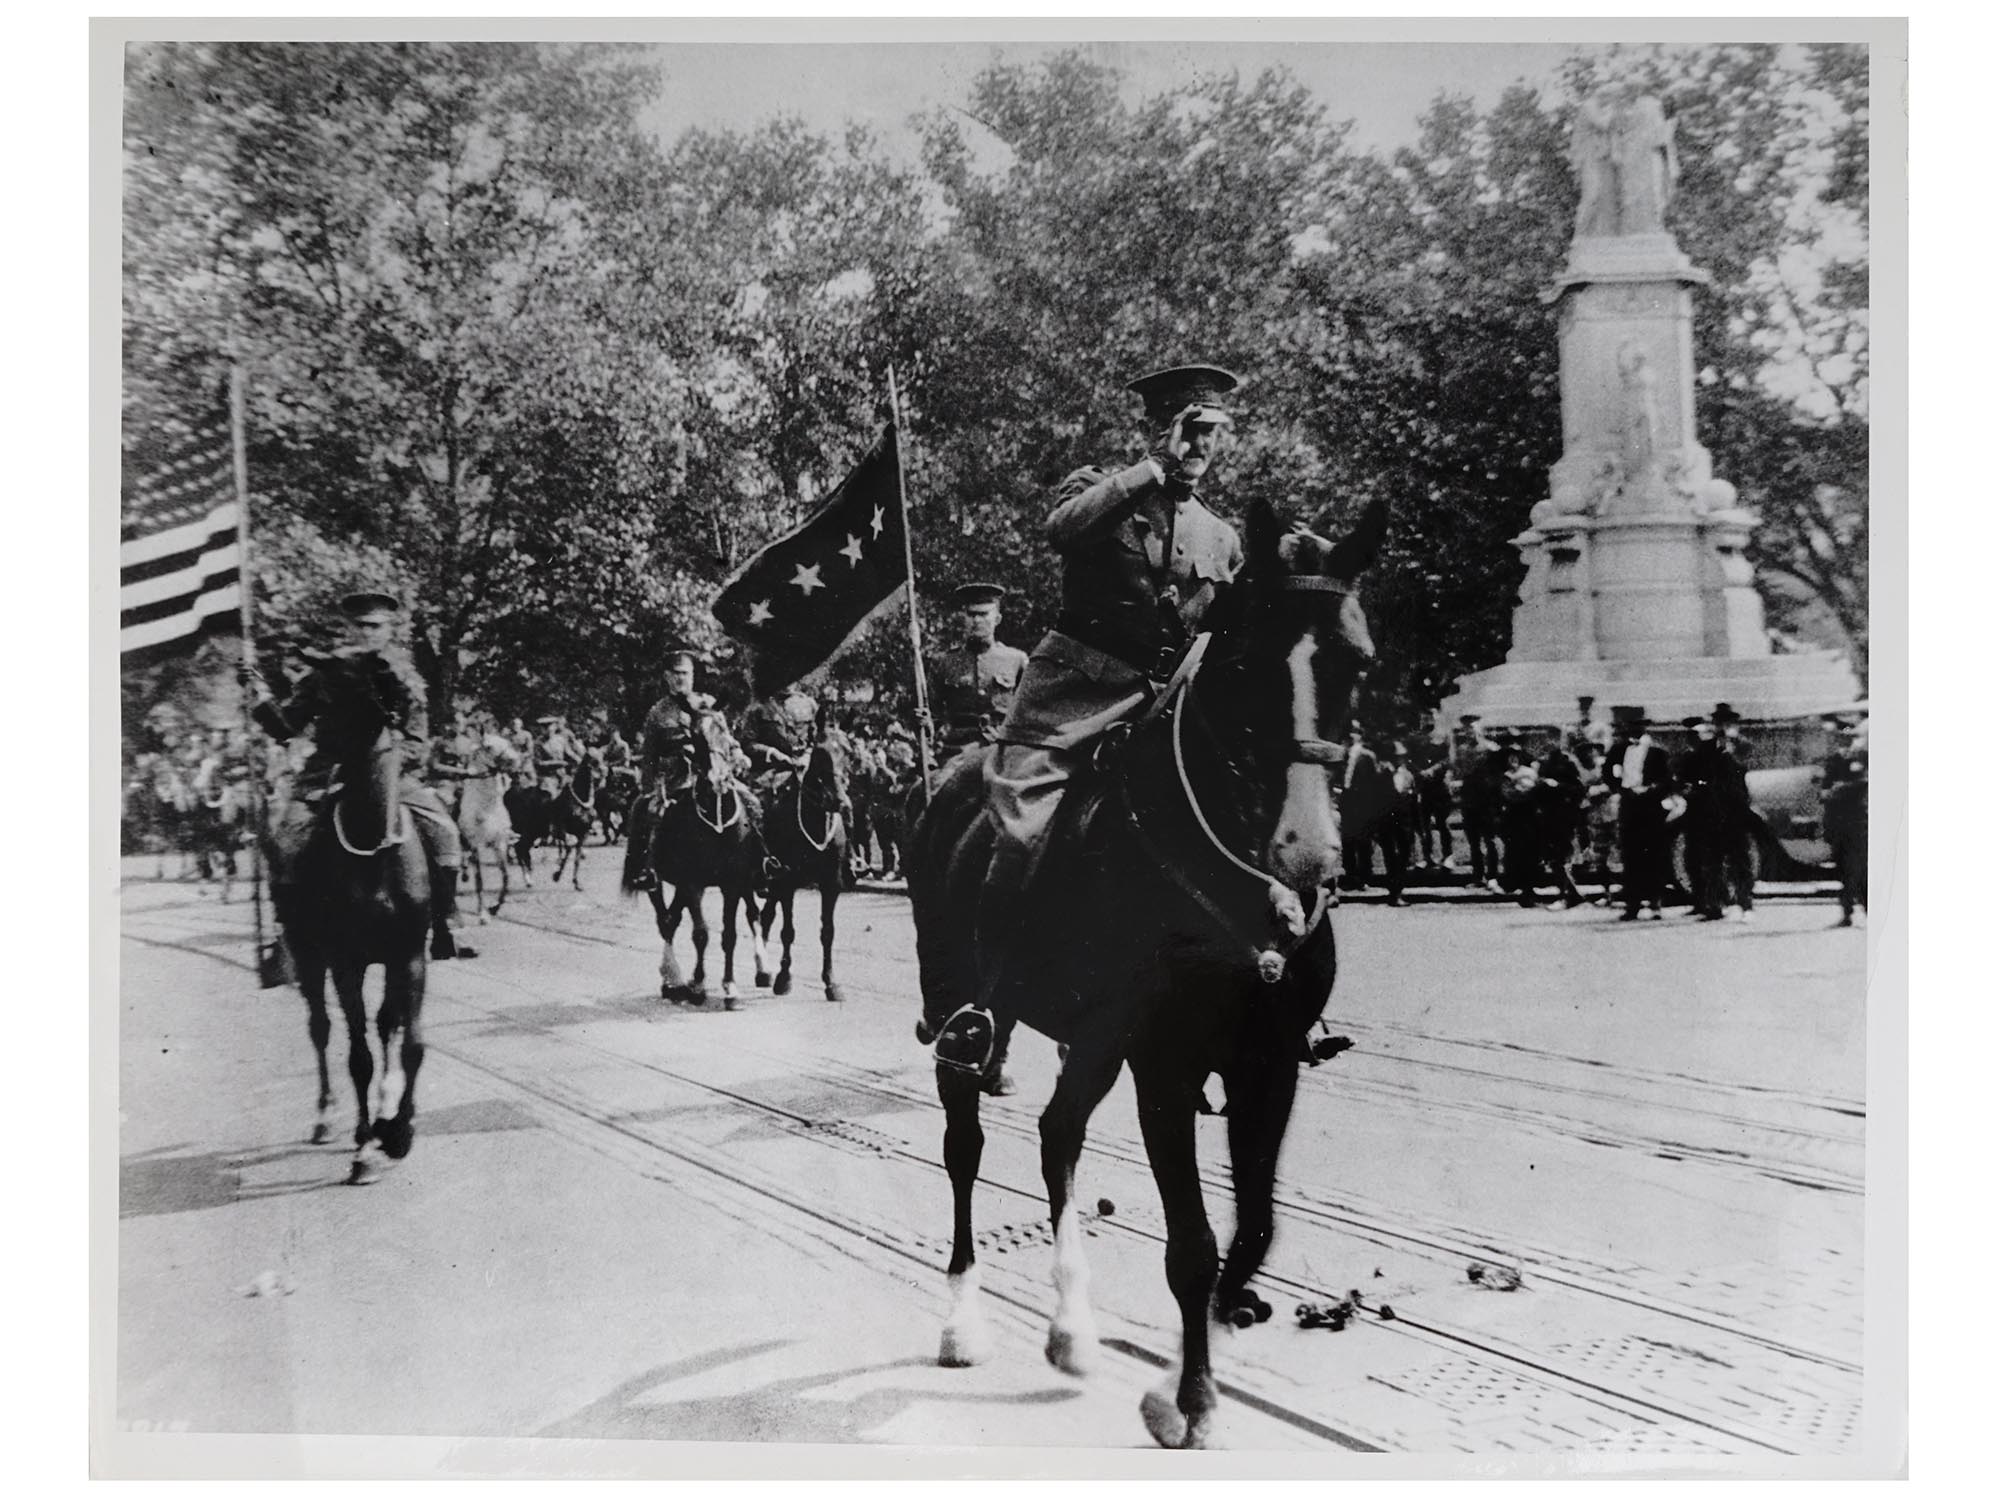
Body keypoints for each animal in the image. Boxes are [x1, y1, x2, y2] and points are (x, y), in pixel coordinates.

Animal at [266, 656, 434, 1184]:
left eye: (324, 694)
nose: (274, 717)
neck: (373, 848)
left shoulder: (410, 955)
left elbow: (412, 1043)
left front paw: (399, 1131)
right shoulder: (346, 962)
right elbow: (357, 1056)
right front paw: (364, 1150)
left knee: (386, 1025)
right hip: (306, 952)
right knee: (320, 1026)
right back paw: (326, 1116)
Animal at [454, 736, 516, 924]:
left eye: (507, 742)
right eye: (488, 747)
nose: (515, 759)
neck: (487, 806)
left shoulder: (499, 844)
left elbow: (506, 876)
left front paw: (495, 907)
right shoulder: (476, 845)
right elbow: (479, 880)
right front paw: (483, 914)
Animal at [624, 720, 772, 1012]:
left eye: (726, 734)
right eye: (697, 739)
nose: (717, 779)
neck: (716, 821)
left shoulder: (732, 883)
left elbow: (730, 934)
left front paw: (730, 989)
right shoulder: (693, 883)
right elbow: (701, 934)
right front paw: (699, 987)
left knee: (681, 918)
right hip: (659, 882)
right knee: (665, 921)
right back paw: (673, 980)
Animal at [752, 724, 844, 1004]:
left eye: (846, 752)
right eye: (821, 755)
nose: (838, 800)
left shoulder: (831, 884)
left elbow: (828, 932)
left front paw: (831, 983)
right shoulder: (788, 882)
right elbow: (788, 931)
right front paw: (784, 979)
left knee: (766, 915)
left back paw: (763, 970)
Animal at [904, 500, 1376, 1448]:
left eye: (1358, 660)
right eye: (1248, 663)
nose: (1309, 858)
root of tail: (956, 776)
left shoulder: (1266, 1064)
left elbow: (1255, 1230)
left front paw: (1204, 1351)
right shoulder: (1164, 1066)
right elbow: (1192, 1246)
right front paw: (1186, 1398)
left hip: (1091, 1040)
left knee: (1058, 1137)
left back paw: (1071, 1330)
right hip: (962, 1014)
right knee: (966, 1149)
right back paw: (963, 1321)